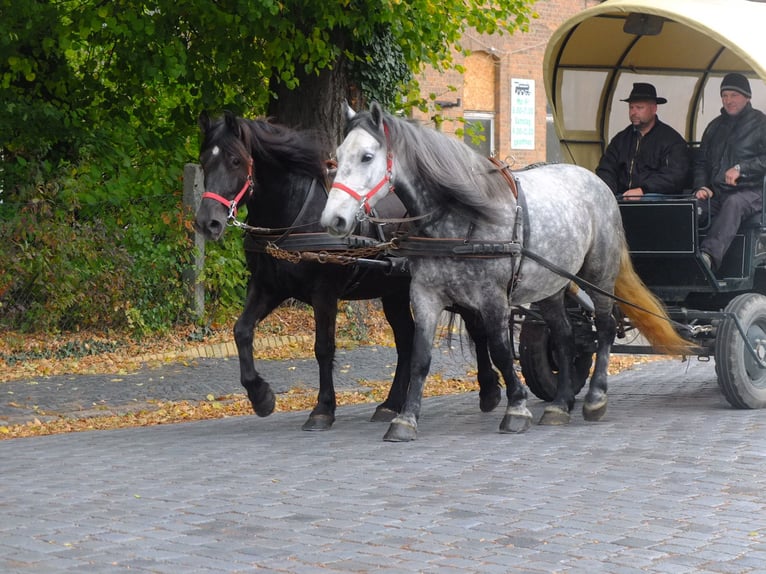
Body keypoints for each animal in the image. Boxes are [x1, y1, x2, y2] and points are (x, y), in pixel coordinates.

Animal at [192, 110, 504, 430]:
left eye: (235, 160)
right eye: (203, 161)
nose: (207, 222)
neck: (294, 214)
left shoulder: (324, 294)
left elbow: (323, 347)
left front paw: (322, 409)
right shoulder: (268, 287)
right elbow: (242, 331)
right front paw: (261, 396)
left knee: (476, 327)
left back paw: (489, 390)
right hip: (394, 292)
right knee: (406, 340)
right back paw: (391, 404)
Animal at [320, 103, 692, 444]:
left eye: (367, 156)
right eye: (337, 156)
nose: (333, 219)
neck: (461, 216)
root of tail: (596, 181)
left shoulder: (492, 297)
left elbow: (499, 350)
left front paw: (516, 407)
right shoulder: (424, 294)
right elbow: (420, 356)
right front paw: (405, 418)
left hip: (599, 272)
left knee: (605, 327)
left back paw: (596, 397)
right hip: (551, 284)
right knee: (565, 335)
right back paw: (560, 403)